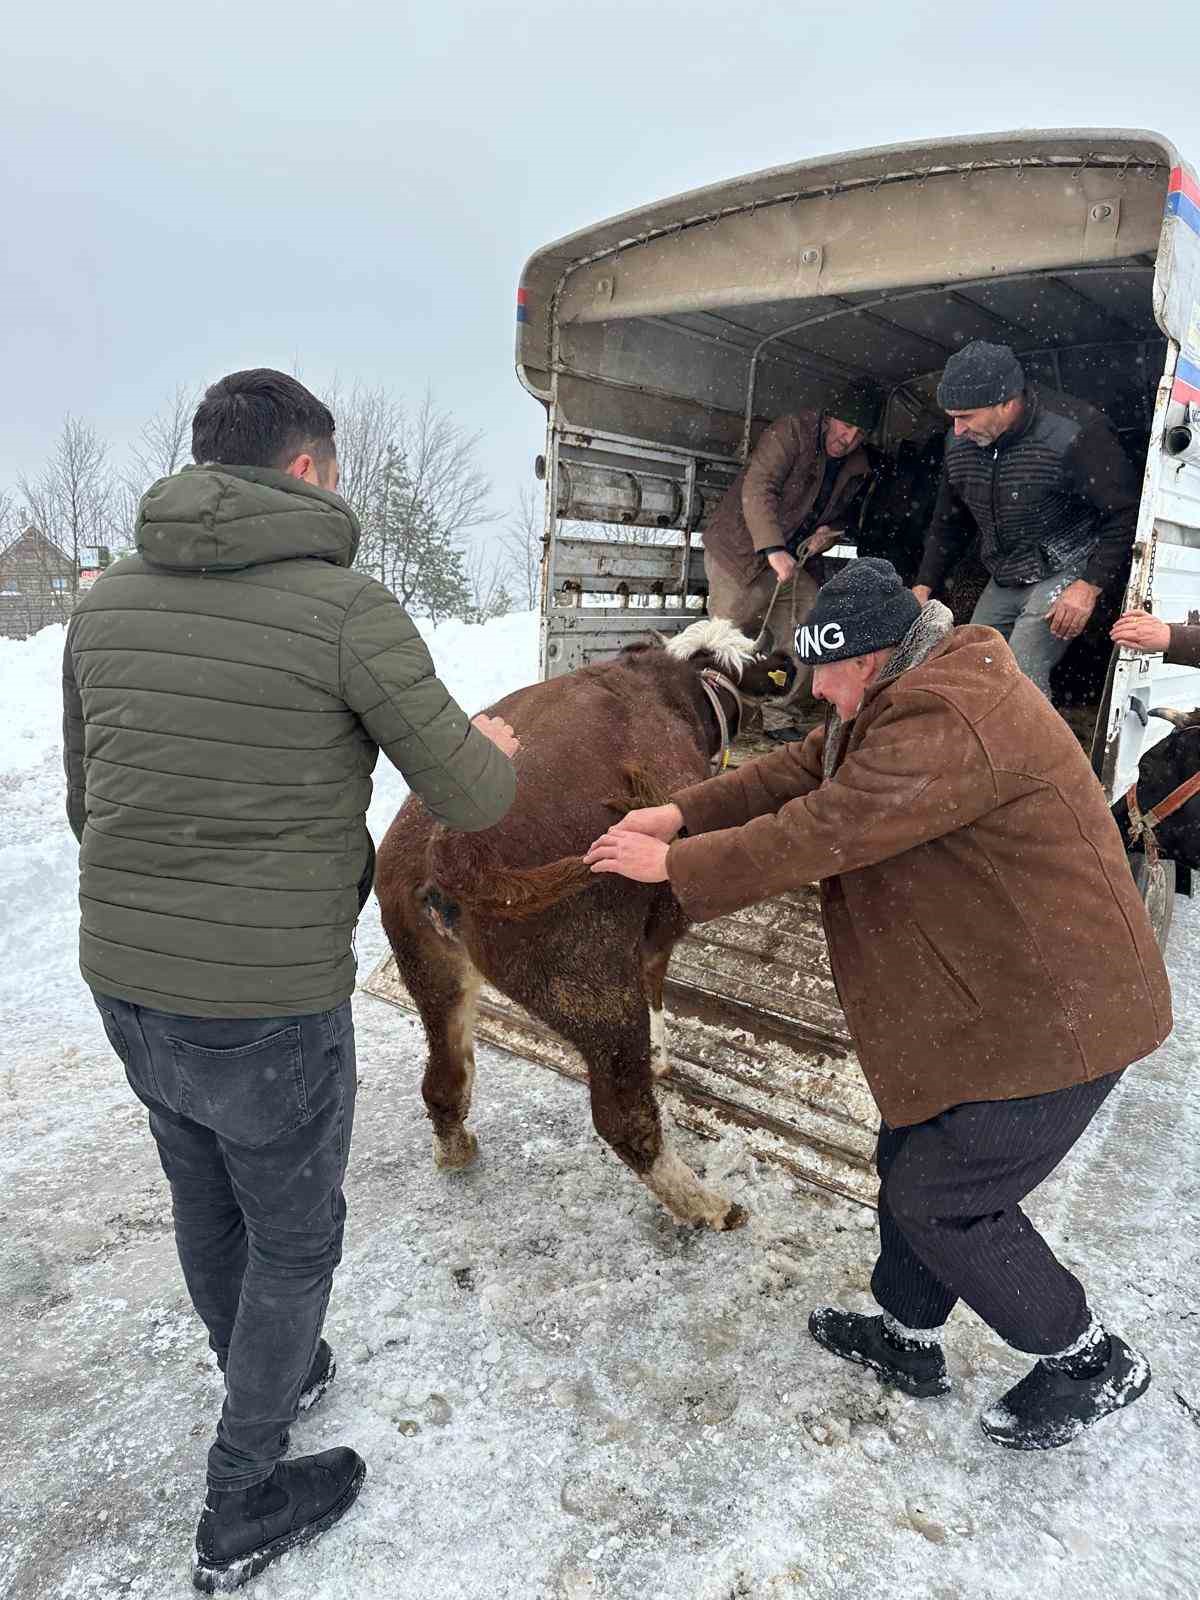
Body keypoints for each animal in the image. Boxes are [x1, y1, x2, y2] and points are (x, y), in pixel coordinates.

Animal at [377, 617, 800, 1228]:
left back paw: (456, 1149)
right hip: (593, 989)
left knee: (444, 1080)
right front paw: (663, 1055)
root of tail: (448, 845)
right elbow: (656, 984)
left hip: (428, 969)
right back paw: (708, 1206)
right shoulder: (659, 924)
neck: (672, 682)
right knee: (623, 1116)